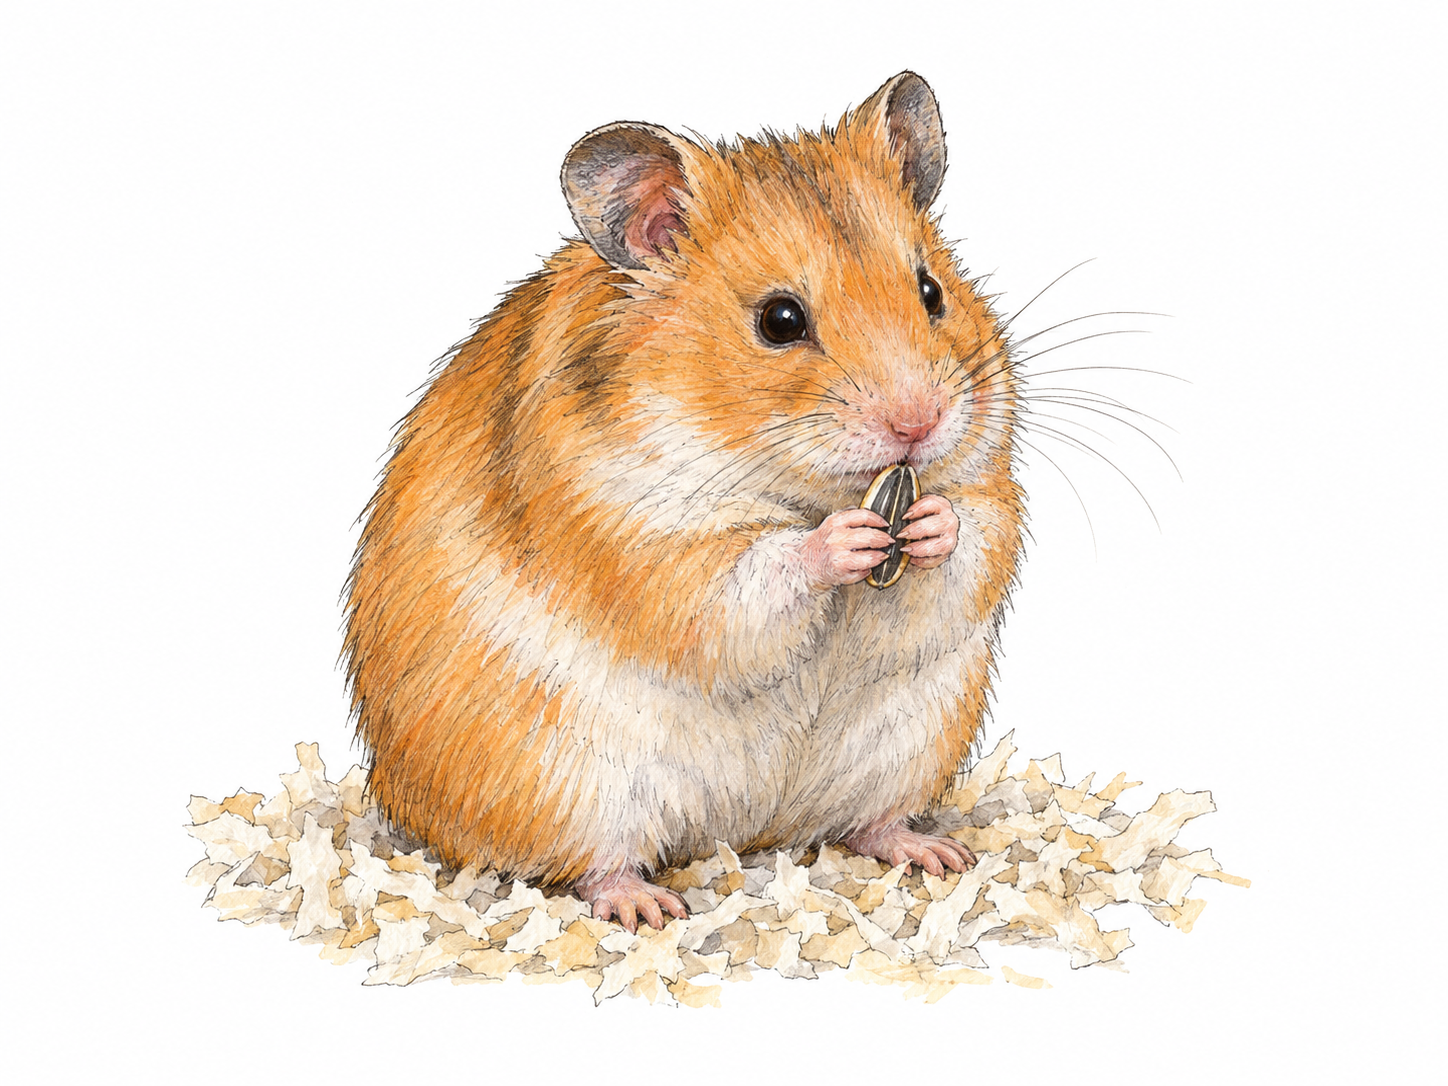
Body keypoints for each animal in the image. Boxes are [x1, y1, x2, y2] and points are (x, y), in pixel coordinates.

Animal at [343, 72, 1024, 932]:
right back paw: (648, 908)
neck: (790, 484)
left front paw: (929, 524)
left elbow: (973, 540)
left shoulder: (990, 485)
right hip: (566, 782)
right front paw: (844, 539)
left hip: (912, 745)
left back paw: (937, 854)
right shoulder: (637, 539)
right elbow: (751, 575)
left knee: (870, 822)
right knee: (591, 865)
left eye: (932, 291)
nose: (919, 423)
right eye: (779, 321)